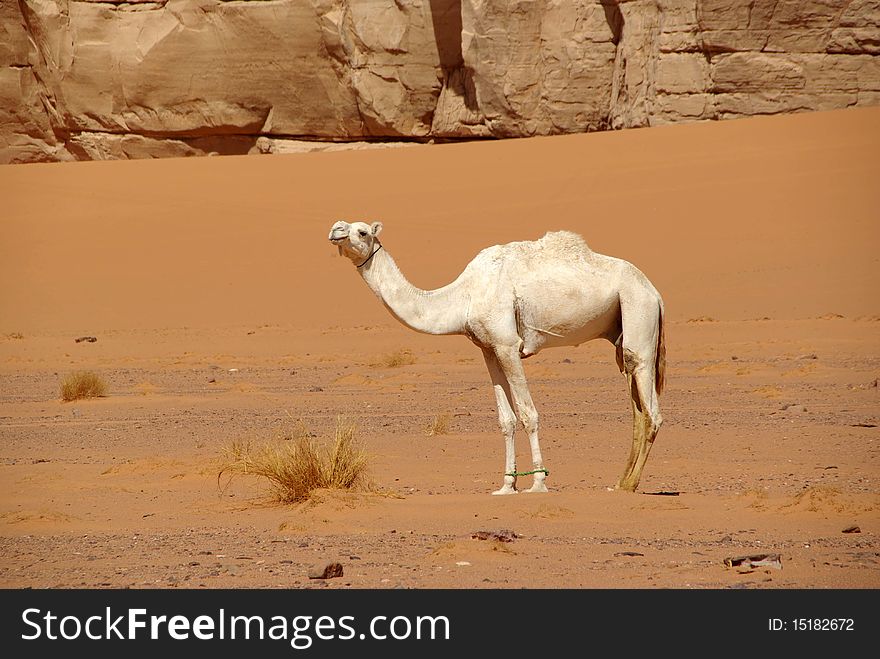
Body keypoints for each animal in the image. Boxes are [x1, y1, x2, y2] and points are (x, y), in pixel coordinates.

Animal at [330, 222, 668, 496]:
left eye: (362, 231)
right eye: (342, 224)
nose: (335, 230)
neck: (462, 297)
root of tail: (655, 292)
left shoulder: (507, 344)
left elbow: (528, 414)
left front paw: (538, 483)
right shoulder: (488, 349)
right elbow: (507, 420)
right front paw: (507, 485)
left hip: (638, 311)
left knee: (650, 407)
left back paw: (631, 484)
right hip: (621, 330)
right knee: (636, 406)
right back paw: (620, 482)